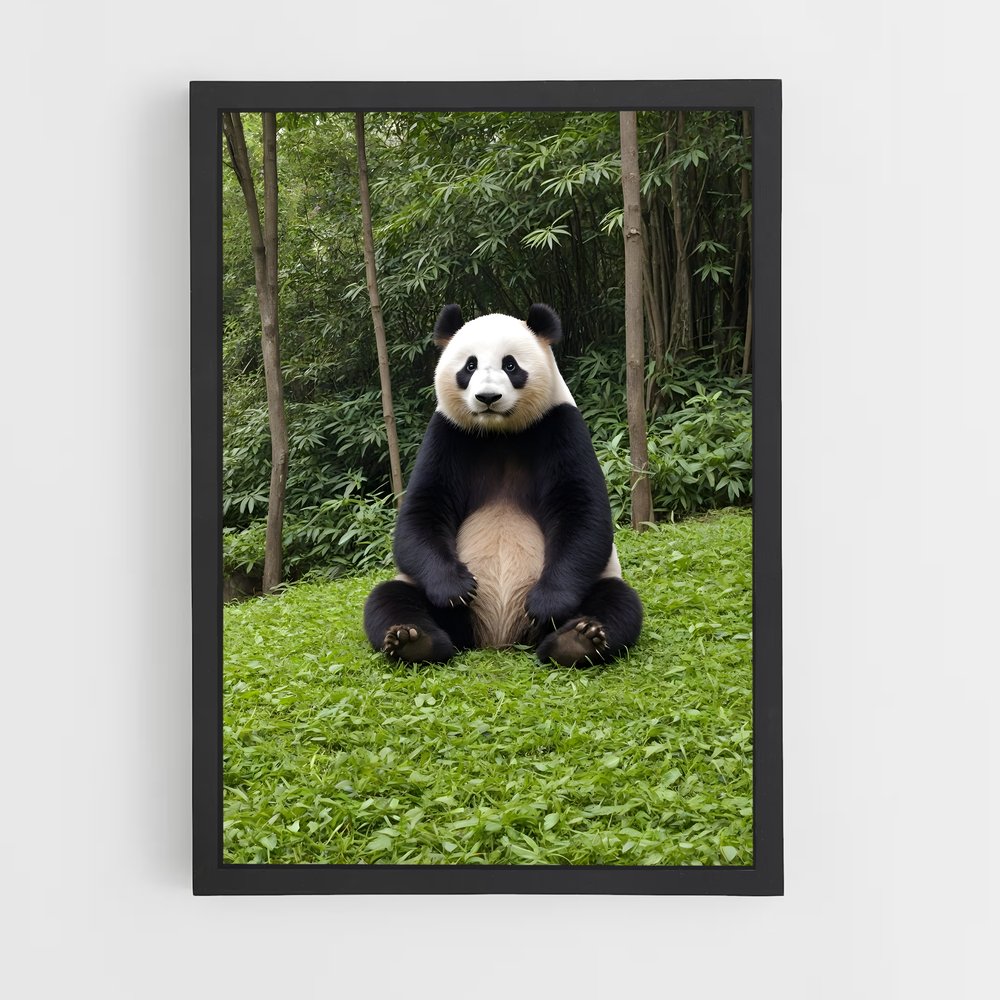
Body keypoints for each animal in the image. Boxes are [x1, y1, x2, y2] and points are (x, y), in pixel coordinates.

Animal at [363, 303, 643, 667]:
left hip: (597, 583)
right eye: (470, 365)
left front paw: (547, 604)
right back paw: (413, 639)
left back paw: (576, 640)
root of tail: (496, 638)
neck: (499, 433)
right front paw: (455, 588)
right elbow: (422, 511)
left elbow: (582, 512)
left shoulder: (560, 424)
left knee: (618, 600)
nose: (488, 397)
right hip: (435, 605)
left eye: (510, 365)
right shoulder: (447, 433)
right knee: (389, 598)